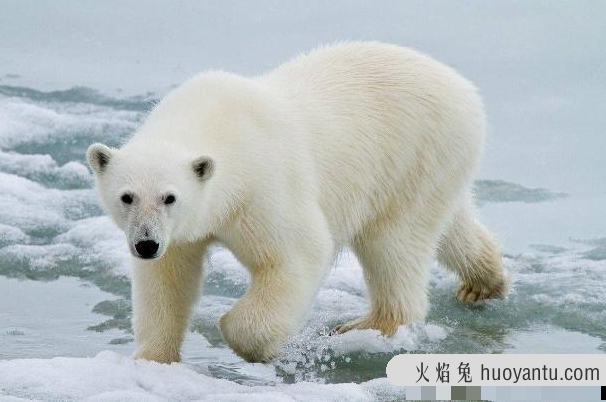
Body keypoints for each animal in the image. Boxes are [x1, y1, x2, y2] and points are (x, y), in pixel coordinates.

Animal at [88, 41, 510, 364]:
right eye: (126, 196)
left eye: (170, 197)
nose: (145, 244)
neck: (215, 124)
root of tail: (463, 87)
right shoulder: (181, 232)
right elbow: (167, 279)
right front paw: (153, 359)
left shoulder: (261, 186)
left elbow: (297, 253)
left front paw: (254, 343)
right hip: (434, 166)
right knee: (449, 223)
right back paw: (482, 282)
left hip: (414, 151)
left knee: (393, 242)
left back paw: (371, 324)